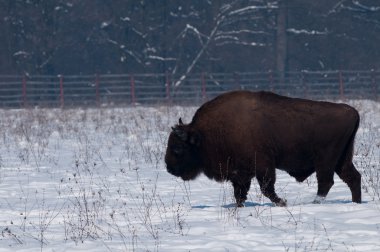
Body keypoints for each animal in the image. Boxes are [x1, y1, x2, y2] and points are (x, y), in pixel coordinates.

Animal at [166, 90, 362, 207]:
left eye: (177, 148)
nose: (169, 168)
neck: (205, 134)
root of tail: (352, 112)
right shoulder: (240, 173)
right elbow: (240, 193)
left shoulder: (262, 165)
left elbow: (266, 188)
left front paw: (283, 202)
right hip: (342, 159)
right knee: (352, 178)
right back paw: (356, 203)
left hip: (326, 160)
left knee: (326, 182)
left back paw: (315, 203)